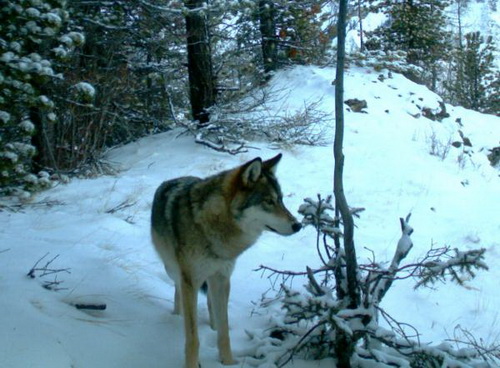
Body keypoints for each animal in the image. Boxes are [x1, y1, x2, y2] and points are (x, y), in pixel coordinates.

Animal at [150, 154, 300, 368]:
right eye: (268, 201)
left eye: (281, 200)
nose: (298, 225)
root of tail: (170, 180)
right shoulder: (190, 280)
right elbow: (193, 337)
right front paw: (192, 363)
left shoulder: (223, 278)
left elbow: (224, 331)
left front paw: (228, 362)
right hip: (173, 269)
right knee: (178, 290)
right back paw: (177, 315)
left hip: (210, 279)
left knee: (211, 304)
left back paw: (211, 325)